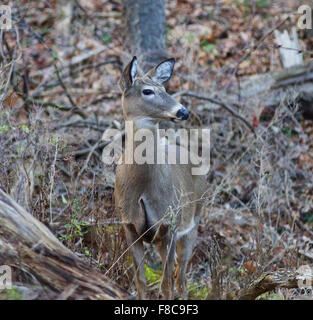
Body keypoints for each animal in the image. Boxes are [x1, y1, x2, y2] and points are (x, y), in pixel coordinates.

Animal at [113, 56, 206, 298]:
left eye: (164, 88)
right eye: (147, 91)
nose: (183, 112)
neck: (143, 189)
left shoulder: (170, 225)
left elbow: (166, 283)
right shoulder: (129, 226)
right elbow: (141, 281)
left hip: (193, 221)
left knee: (181, 276)